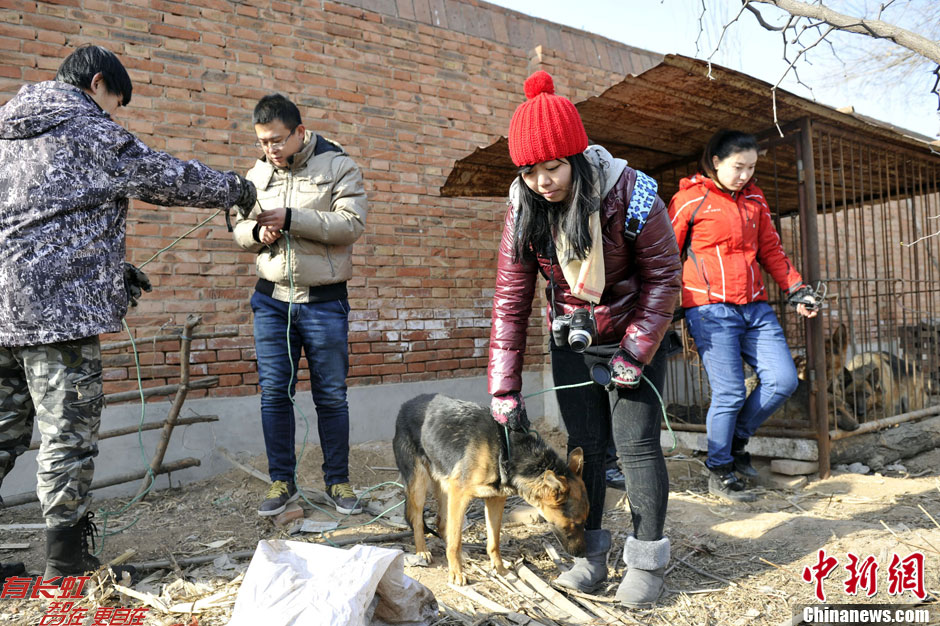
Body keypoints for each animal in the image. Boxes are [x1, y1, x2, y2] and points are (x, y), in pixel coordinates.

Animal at [394, 392, 588, 584]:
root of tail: (405, 405)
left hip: (444, 487)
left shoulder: (495, 500)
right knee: (418, 520)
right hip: (420, 486)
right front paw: (456, 573)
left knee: (441, 522)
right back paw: (422, 551)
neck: (506, 450)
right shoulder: (459, 494)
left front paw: (500, 569)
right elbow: (456, 541)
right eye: (575, 524)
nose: (582, 554)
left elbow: (494, 542)